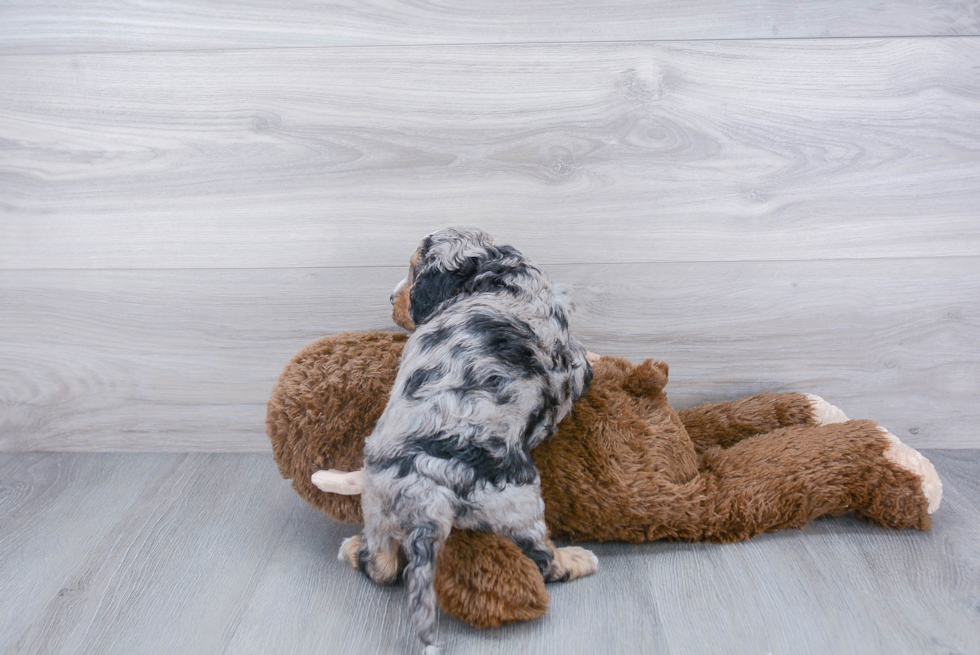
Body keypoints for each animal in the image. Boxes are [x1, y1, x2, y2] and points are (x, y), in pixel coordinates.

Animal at [336, 228, 596, 652]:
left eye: (413, 271)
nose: (391, 299)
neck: (496, 275)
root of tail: (427, 490)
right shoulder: (572, 361)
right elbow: (586, 361)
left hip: (377, 504)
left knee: (383, 565)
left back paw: (353, 548)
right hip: (519, 499)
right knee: (542, 561)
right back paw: (577, 559)